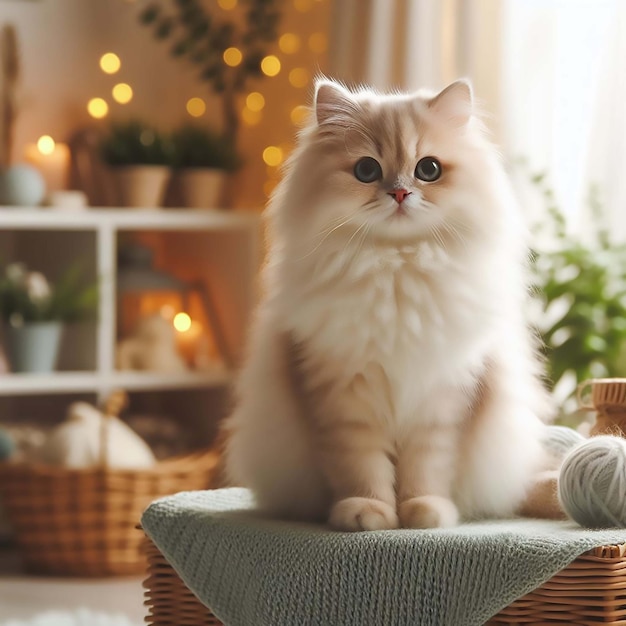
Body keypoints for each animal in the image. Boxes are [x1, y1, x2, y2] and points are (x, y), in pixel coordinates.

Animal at [224, 75, 556, 528]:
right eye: (367, 170)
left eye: (428, 169)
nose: (399, 193)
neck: (396, 269)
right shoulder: (343, 398)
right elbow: (362, 468)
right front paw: (368, 513)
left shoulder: (441, 401)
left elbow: (426, 469)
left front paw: (424, 513)